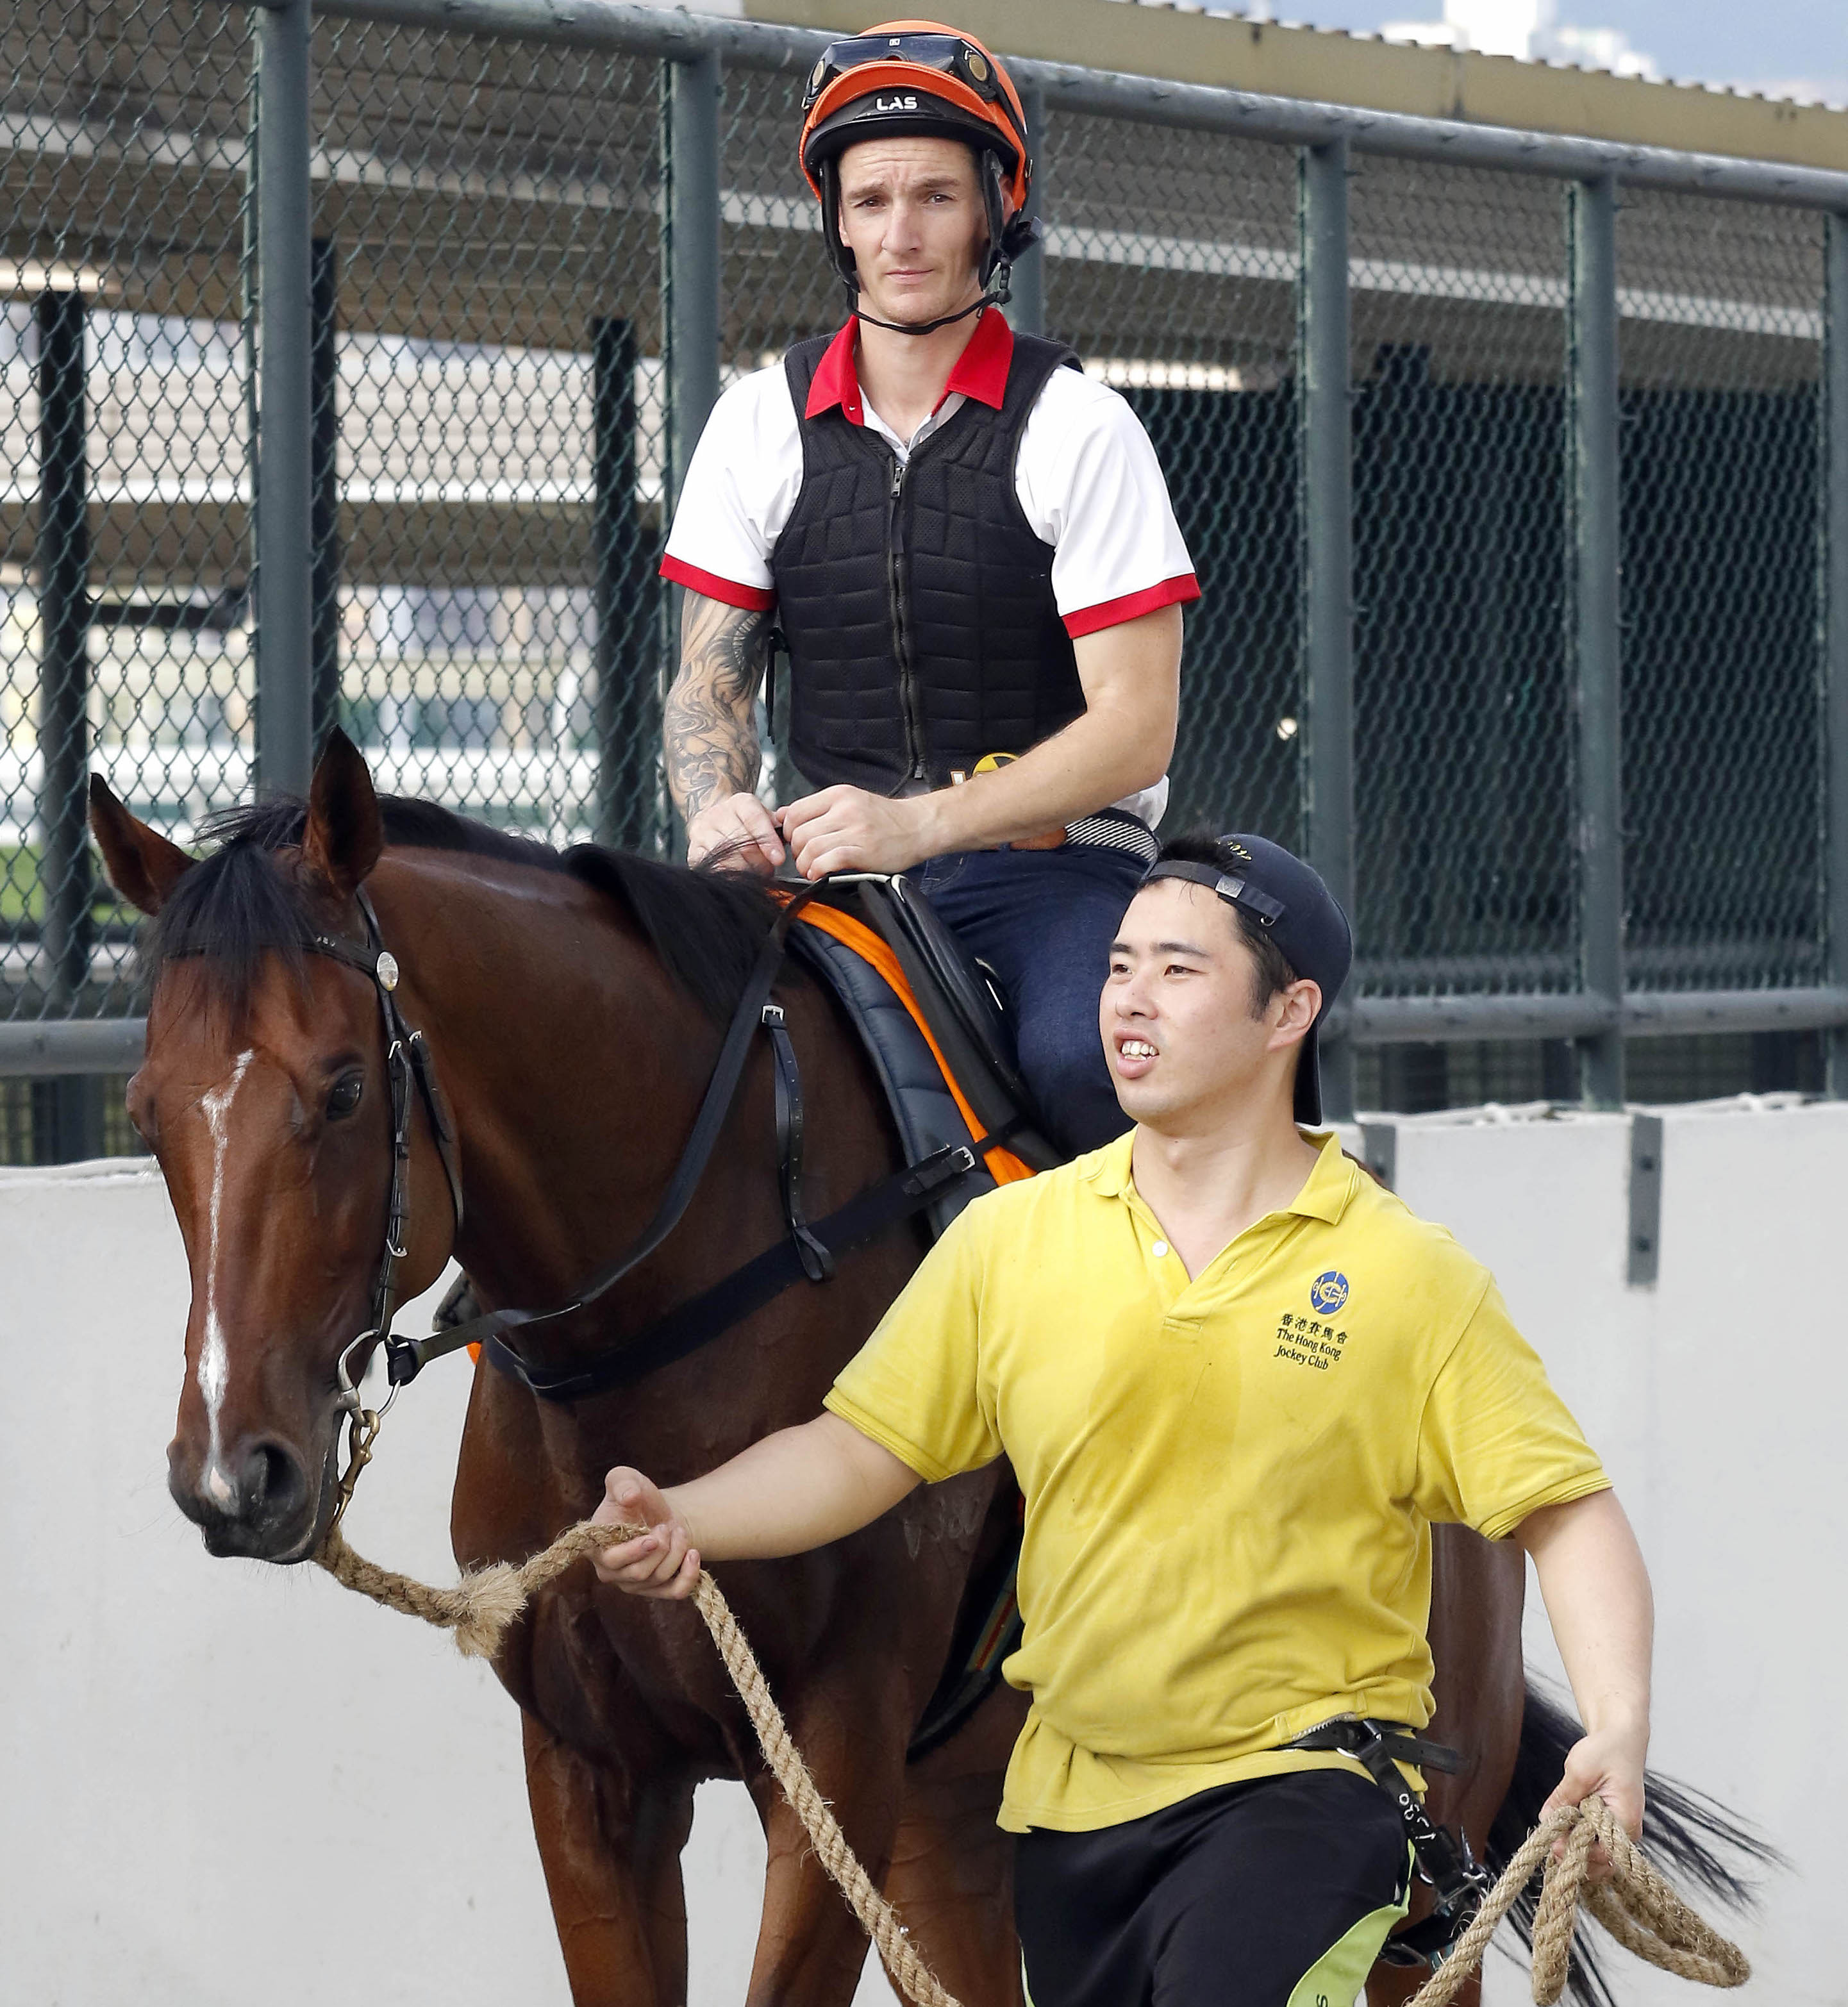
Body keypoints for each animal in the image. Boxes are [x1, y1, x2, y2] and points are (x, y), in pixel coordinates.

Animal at [90, 734, 1758, 2007]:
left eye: (341, 1086)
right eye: (149, 1104)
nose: (235, 1471)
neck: (710, 1271)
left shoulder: (824, 1768)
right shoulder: (591, 1776)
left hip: (1414, 1882)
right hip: (959, 1841)